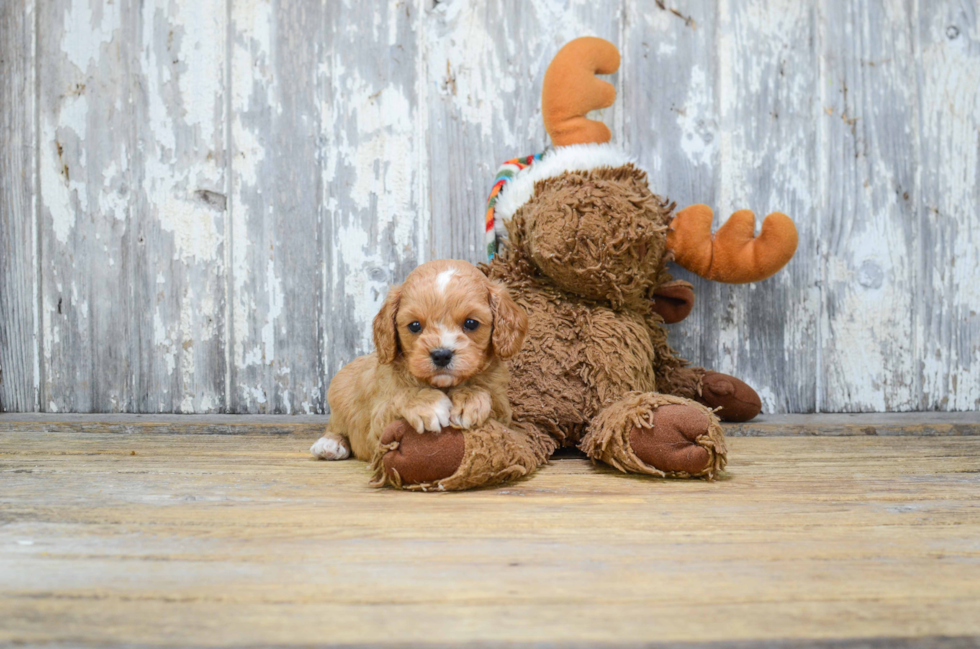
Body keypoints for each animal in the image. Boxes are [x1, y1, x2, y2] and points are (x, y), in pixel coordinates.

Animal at [312, 258, 528, 466]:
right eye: (415, 325)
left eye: (471, 323)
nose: (441, 355)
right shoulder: (377, 424)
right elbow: (397, 398)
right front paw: (427, 403)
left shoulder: (503, 410)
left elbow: (489, 399)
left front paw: (469, 398)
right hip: (339, 390)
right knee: (335, 425)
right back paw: (330, 444)